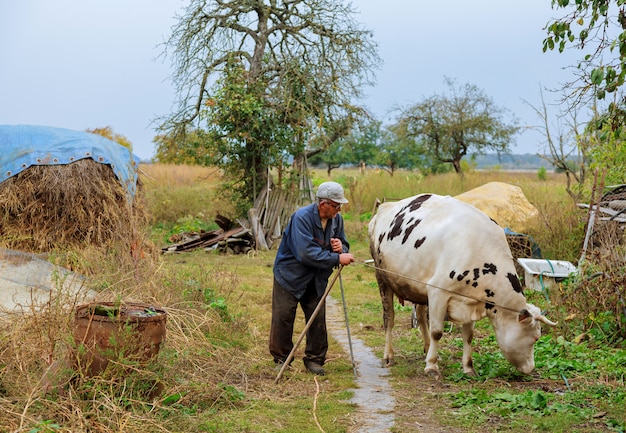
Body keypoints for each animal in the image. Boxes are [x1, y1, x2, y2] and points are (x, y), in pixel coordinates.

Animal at [366, 192, 556, 374]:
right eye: (536, 338)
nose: (531, 368)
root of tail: (384, 207)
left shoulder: (471, 300)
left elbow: (468, 335)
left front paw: (468, 367)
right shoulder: (438, 292)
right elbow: (437, 332)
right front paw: (432, 366)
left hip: (418, 287)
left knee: (419, 315)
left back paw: (426, 348)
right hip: (382, 277)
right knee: (389, 318)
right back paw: (389, 356)